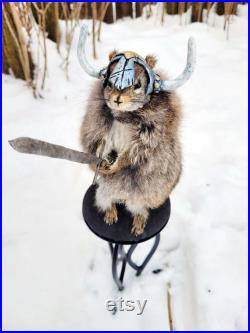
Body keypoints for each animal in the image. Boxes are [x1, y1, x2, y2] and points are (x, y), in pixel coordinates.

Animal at [78, 26, 195, 235]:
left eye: (138, 85)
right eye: (108, 83)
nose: (117, 99)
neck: (124, 116)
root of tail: (122, 197)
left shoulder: (150, 135)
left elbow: (133, 153)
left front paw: (116, 164)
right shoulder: (98, 126)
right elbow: (97, 142)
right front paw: (100, 156)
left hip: (143, 197)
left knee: (139, 209)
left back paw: (139, 223)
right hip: (104, 192)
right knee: (107, 201)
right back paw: (110, 213)